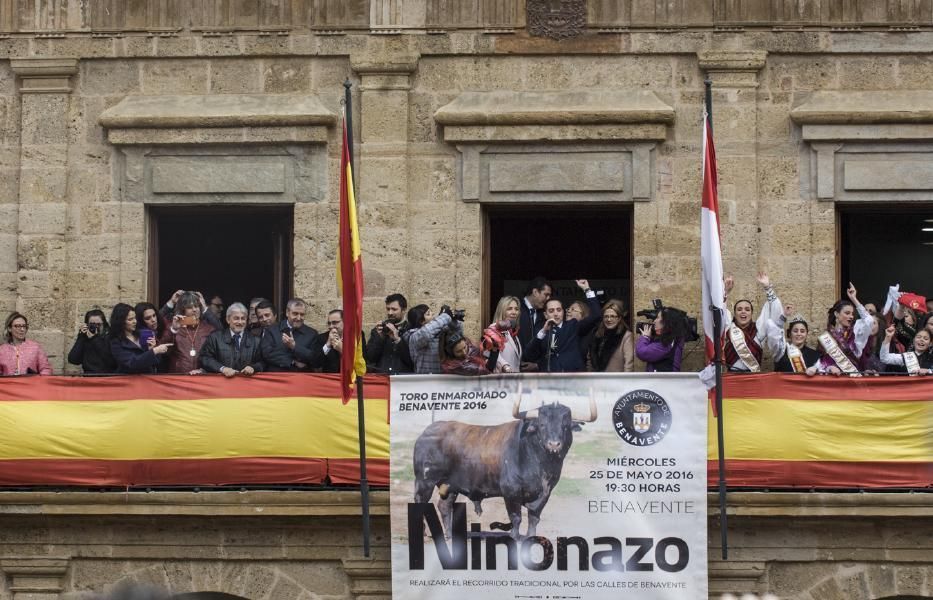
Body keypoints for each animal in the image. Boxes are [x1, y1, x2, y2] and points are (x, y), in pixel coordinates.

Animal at [414, 394, 596, 540]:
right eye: (542, 424)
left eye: (565, 425)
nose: (554, 444)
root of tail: (427, 431)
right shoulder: (511, 492)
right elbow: (516, 517)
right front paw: (514, 537)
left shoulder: (546, 493)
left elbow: (534, 518)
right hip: (424, 482)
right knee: (420, 503)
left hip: (450, 485)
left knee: (444, 507)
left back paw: (450, 536)